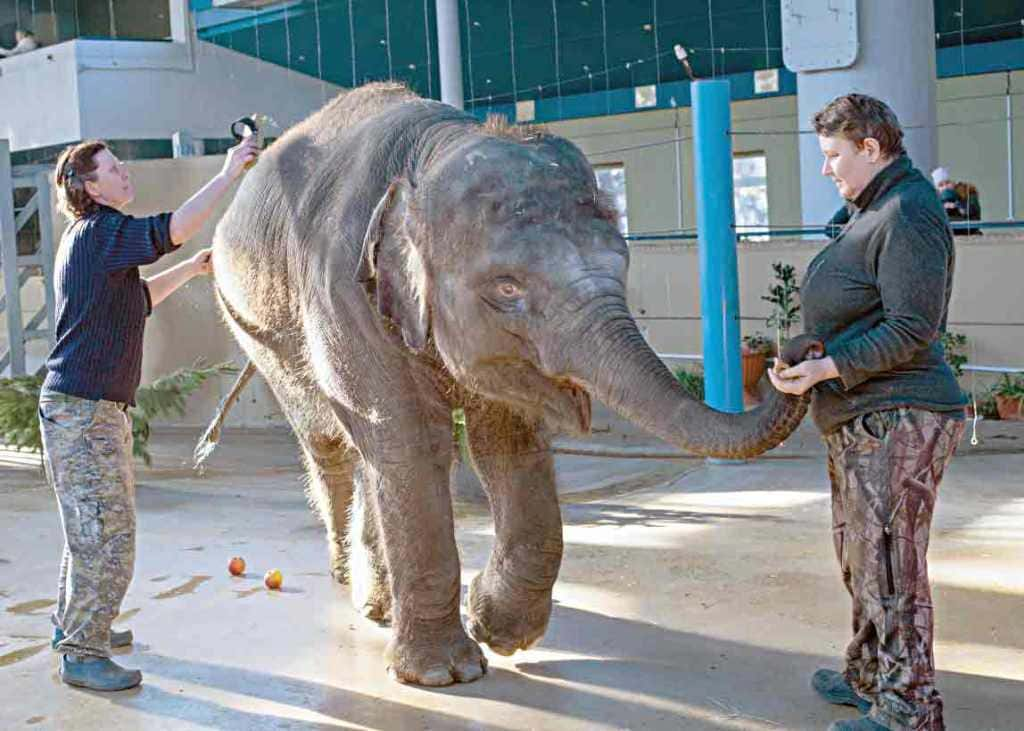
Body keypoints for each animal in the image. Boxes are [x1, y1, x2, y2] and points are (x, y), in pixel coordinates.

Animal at [211, 82, 819, 688]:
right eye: (507, 288)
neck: (429, 153)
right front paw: (444, 675)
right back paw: (350, 581)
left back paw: (379, 603)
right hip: (259, 328)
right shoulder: (342, 292)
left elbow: (509, 443)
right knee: (330, 441)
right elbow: (411, 442)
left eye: (621, 264)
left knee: (366, 453)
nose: (797, 354)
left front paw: (496, 628)